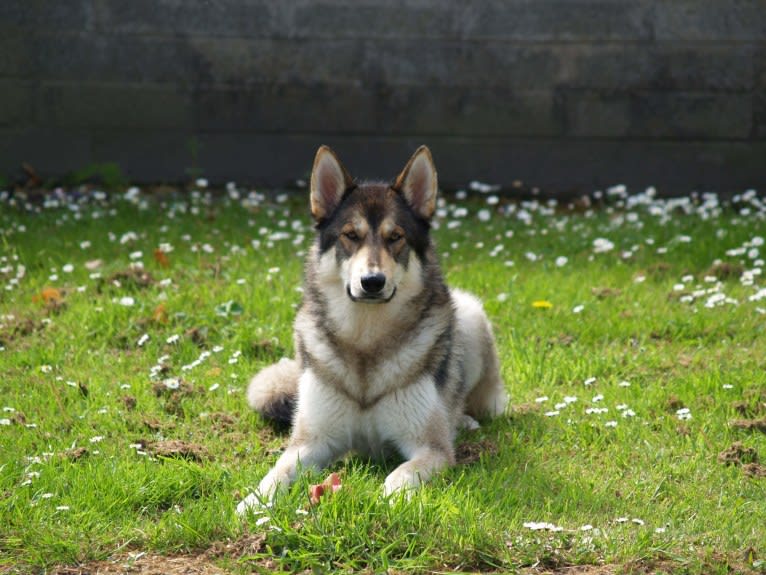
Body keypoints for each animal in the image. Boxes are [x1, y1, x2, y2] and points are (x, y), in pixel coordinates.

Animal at [237, 146, 508, 516]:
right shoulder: (311, 443)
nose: (372, 281)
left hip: (471, 318)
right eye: (351, 236)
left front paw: (388, 503)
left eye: (395, 238)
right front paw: (252, 502)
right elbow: (276, 472)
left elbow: (399, 475)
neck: (365, 339)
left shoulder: (431, 449)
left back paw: (462, 420)